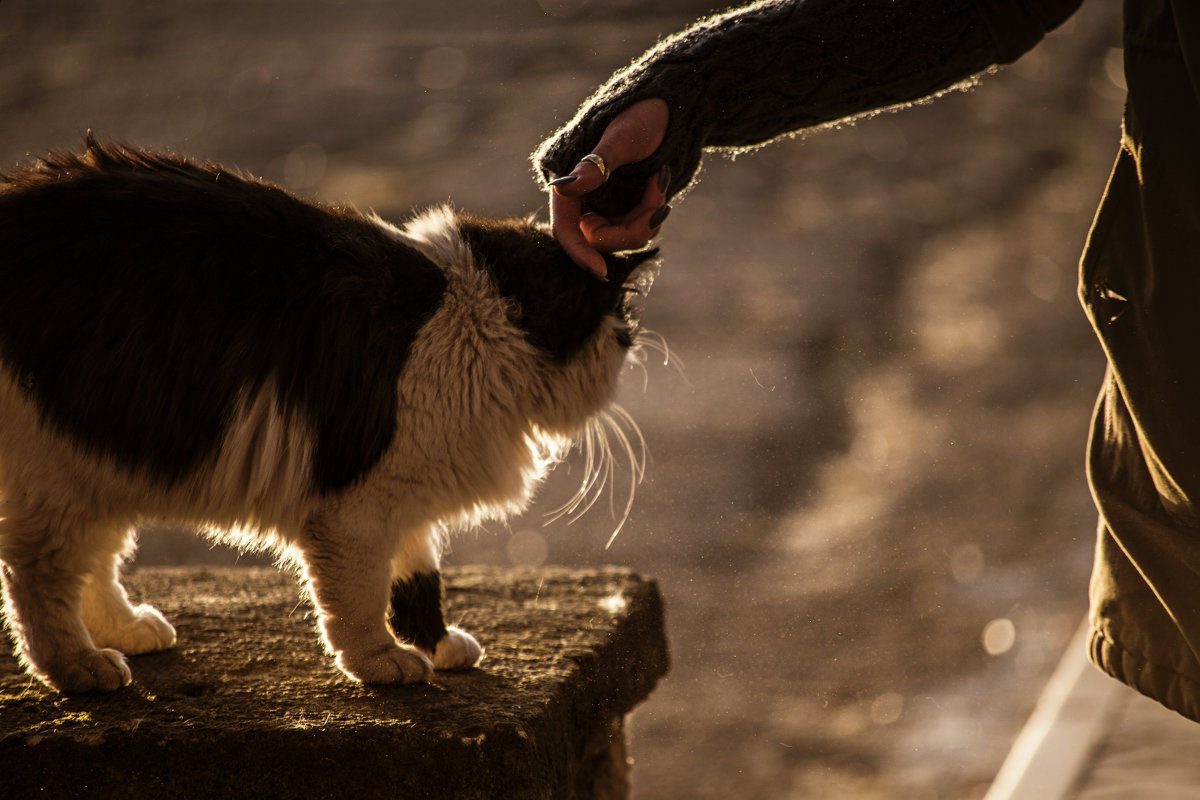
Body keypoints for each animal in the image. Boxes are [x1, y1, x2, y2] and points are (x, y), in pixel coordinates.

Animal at [0, 137, 657, 695]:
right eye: (619, 330)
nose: (632, 347)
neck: (479, 311)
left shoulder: (406, 496)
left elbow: (418, 578)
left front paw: (436, 644)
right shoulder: (358, 506)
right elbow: (360, 598)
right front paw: (381, 661)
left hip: (106, 456)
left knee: (96, 564)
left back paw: (128, 629)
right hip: (58, 471)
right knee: (38, 579)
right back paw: (81, 667)